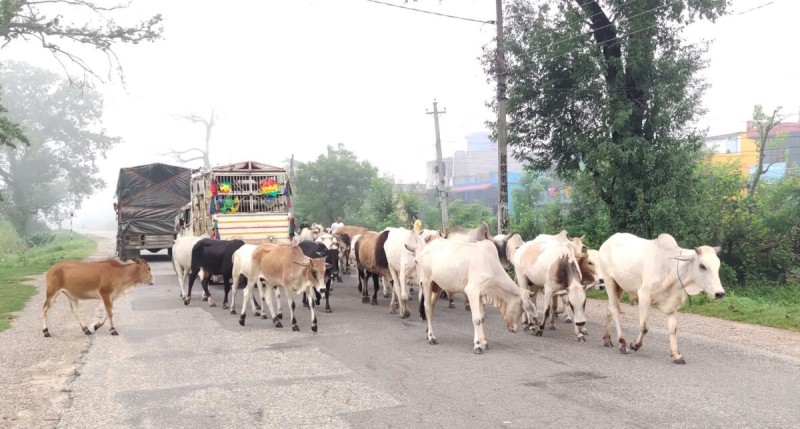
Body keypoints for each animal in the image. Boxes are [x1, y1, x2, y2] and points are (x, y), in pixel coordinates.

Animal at [600, 232, 724, 362]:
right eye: (702, 266)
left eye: (718, 266)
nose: (720, 293)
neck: (670, 268)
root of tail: (609, 240)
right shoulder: (644, 294)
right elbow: (644, 326)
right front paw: (635, 344)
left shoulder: (672, 304)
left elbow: (673, 329)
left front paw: (676, 355)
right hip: (609, 280)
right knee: (614, 310)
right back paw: (622, 343)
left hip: (619, 286)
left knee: (609, 309)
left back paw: (607, 339)